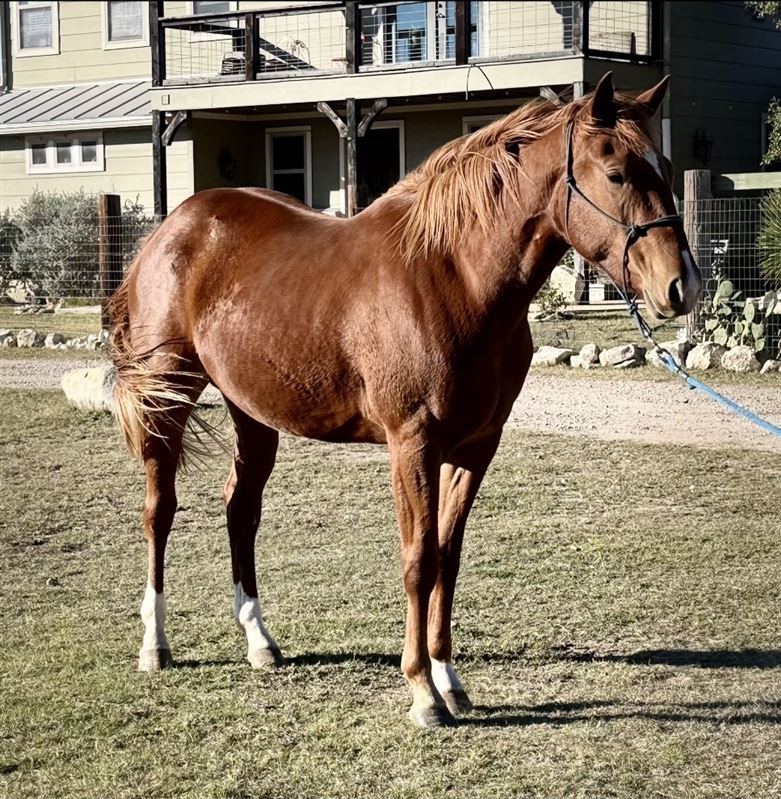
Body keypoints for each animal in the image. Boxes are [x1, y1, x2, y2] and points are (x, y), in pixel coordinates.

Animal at [109, 73, 701, 728]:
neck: (454, 276)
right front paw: (421, 691)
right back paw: (154, 645)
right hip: (168, 397)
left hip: (253, 413)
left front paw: (449, 679)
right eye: (617, 172)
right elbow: (418, 560)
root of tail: (172, 228)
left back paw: (260, 641)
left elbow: (448, 555)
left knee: (241, 509)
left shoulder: (474, 447)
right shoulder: (412, 443)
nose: (682, 285)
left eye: (664, 166)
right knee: (159, 512)